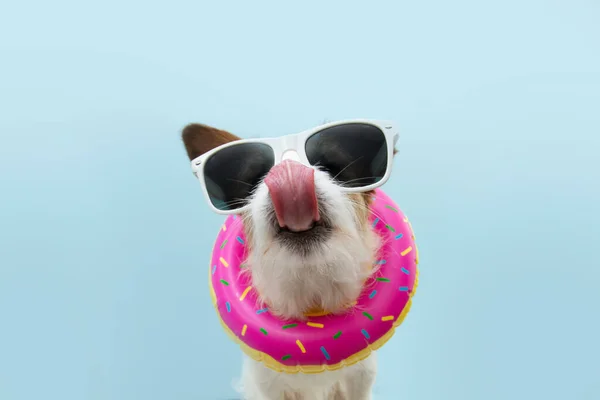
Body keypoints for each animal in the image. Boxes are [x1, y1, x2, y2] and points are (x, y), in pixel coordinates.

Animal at [182, 122, 398, 400]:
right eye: (255, 179)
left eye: (332, 166)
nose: (288, 173)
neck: (311, 290)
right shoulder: (268, 387)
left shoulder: (359, 381)